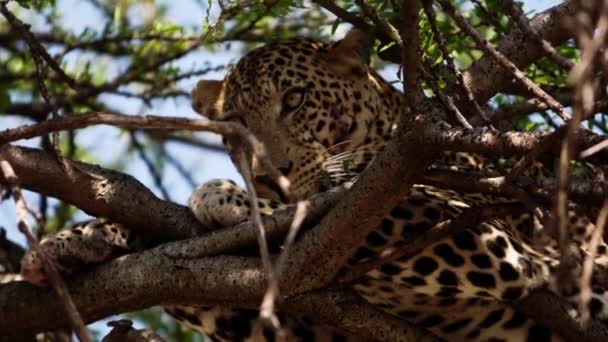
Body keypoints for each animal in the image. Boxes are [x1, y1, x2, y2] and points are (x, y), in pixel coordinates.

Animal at [7, 30, 608, 342]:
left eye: (294, 100)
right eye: (237, 124)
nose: (268, 173)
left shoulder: (483, 235)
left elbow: (312, 213)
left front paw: (225, 197)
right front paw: (76, 241)